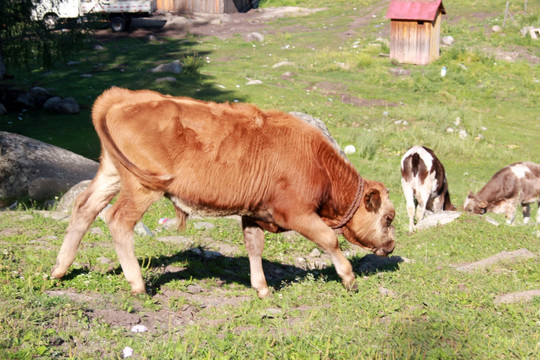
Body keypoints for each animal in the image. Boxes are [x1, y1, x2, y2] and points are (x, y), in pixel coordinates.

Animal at [50, 88, 396, 298]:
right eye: (389, 218)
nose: (392, 245)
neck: (318, 162)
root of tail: (123, 97)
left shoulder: (254, 213)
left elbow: (254, 247)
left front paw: (262, 288)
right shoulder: (297, 213)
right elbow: (328, 239)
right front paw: (348, 277)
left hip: (111, 174)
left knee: (84, 207)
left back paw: (59, 270)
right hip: (142, 186)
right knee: (119, 221)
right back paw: (137, 284)